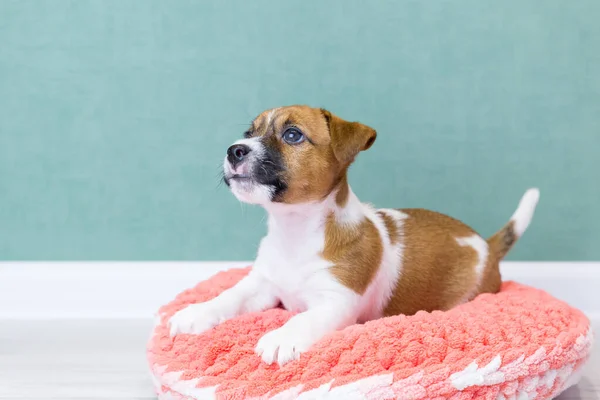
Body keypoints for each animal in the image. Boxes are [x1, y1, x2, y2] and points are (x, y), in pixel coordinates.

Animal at [169, 104, 540, 368]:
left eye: (292, 135)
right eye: (249, 132)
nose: (234, 149)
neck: (295, 232)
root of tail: (486, 245)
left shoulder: (337, 301)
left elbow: (305, 316)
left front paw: (283, 335)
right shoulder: (261, 285)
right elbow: (228, 296)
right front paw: (195, 312)